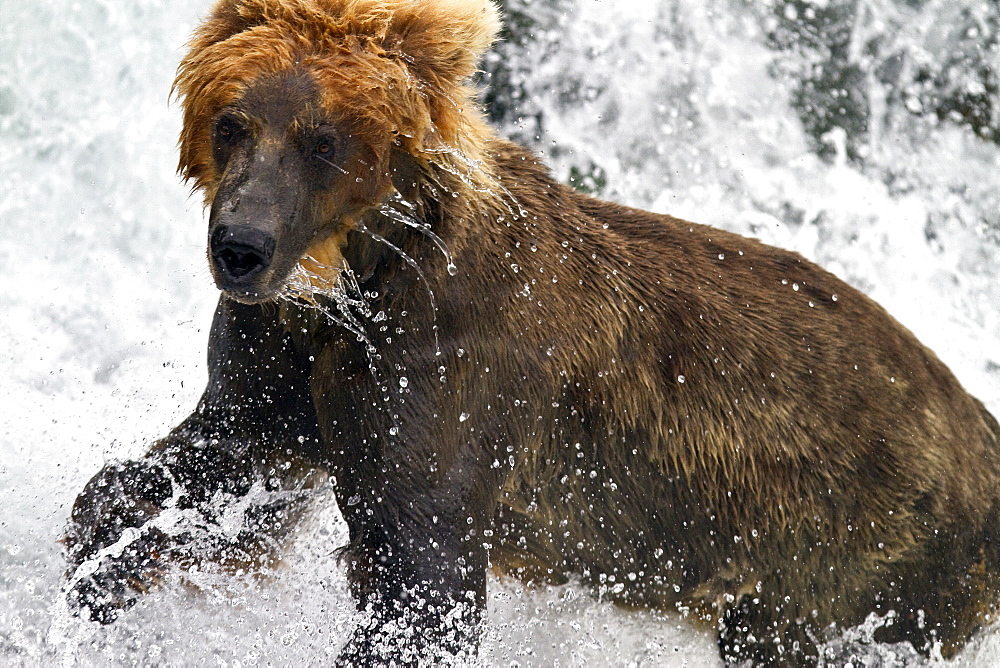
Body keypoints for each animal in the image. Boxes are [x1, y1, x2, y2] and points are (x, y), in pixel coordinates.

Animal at [64, 2, 1000, 664]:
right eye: (231, 122)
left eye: (321, 140)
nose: (241, 246)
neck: (359, 277)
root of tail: (979, 426)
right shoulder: (289, 362)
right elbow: (218, 467)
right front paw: (95, 570)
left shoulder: (449, 368)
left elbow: (421, 577)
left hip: (857, 565)